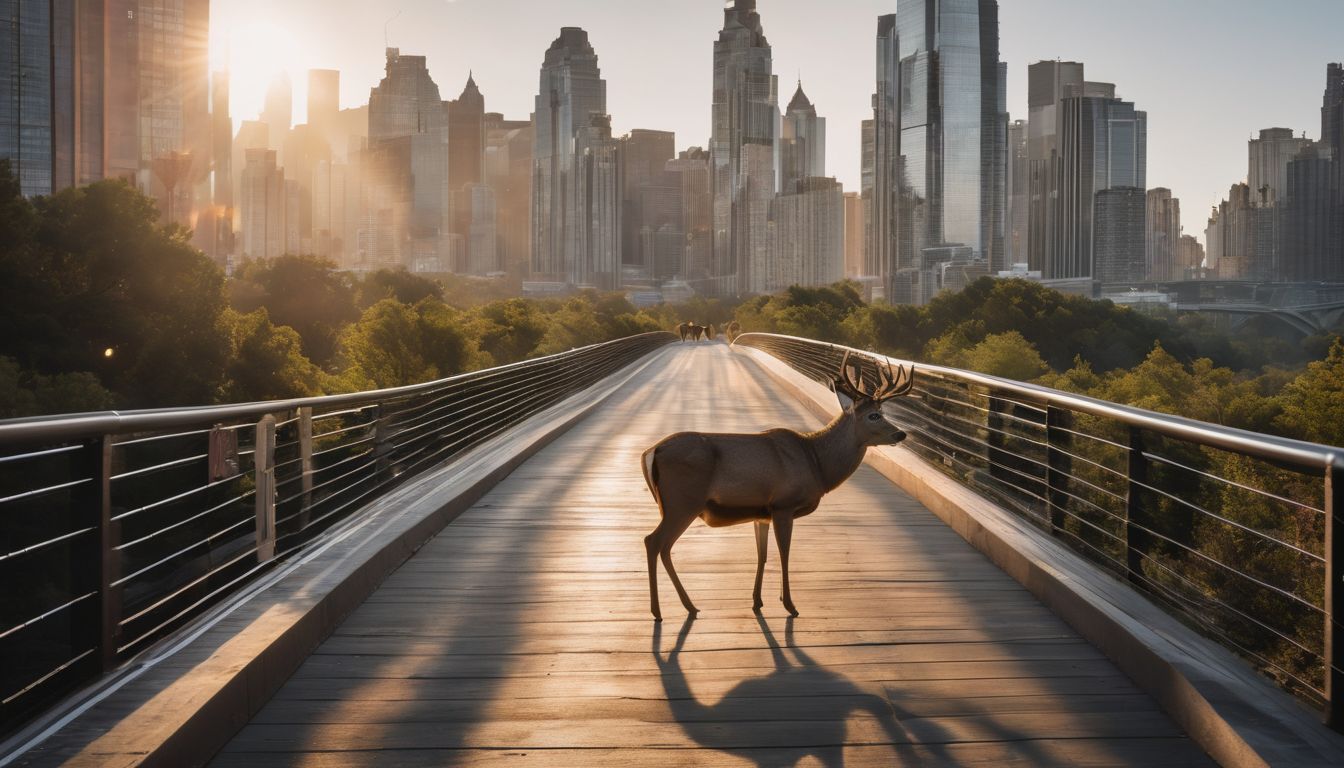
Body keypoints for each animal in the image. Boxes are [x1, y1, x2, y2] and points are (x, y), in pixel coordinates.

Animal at [639, 352, 913, 621]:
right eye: (873, 415)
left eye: (884, 411)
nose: (901, 434)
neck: (816, 464)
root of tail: (650, 452)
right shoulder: (784, 505)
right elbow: (784, 552)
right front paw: (789, 604)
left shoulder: (762, 513)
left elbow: (761, 554)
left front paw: (757, 601)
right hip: (682, 502)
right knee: (654, 541)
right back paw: (661, 611)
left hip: (675, 505)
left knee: (662, 546)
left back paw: (688, 606)